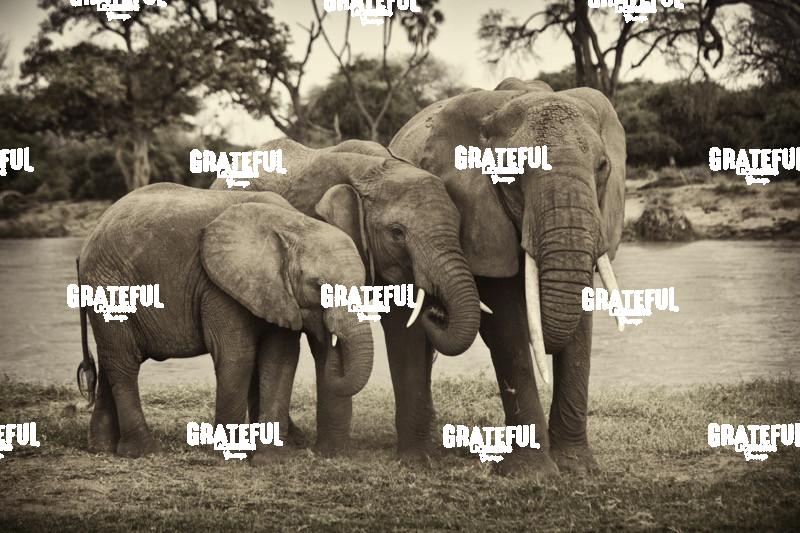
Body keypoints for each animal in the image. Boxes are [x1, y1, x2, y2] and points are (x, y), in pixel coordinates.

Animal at [75, 183, 372, 458]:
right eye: (318, 285)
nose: (331, 336)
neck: (293, 223)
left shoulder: (280, 294)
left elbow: (280, 358)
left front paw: (270, 459)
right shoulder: (218, 284)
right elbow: (237, 354)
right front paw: (230, 453)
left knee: (112, 360)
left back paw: (102, 448)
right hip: (108, 284)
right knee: (124, 362)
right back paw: (143, 451)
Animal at [211, 139, 483, 456]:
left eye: (459, 226)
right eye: (397, 233)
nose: (436, 313)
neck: (375, 171)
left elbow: (404, 329)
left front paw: (415, 457)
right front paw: (333, 453)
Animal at [388, 78, 626, 476]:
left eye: (602, 166)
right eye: (512, 175)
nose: (436, 311)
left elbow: (581, 324)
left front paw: (578, 468)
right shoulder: (480, 217)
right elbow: (506, 325)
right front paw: (534, 473)